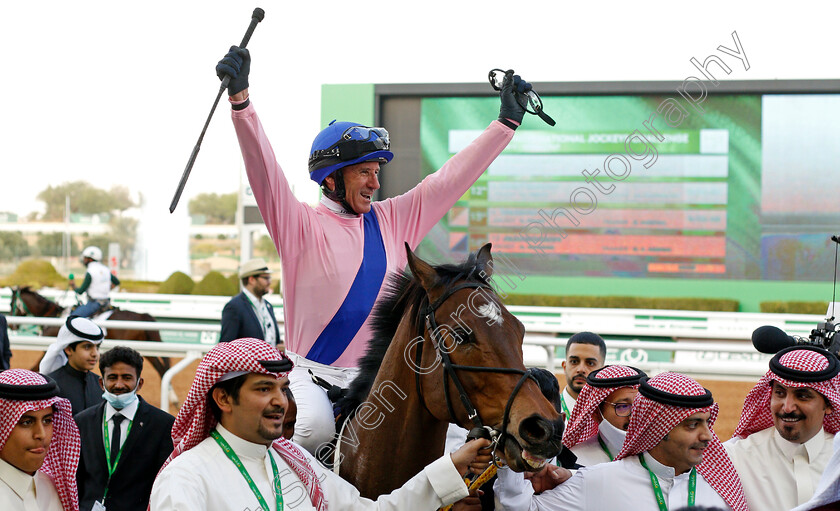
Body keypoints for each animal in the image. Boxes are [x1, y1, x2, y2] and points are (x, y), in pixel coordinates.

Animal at [9, 288, 172, 380]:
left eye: (11, 304)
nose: (12, 325)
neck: (52, 316)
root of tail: (142, 315)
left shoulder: (48, 349)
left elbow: (34, 368)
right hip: (146, 349)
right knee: (162, 369)